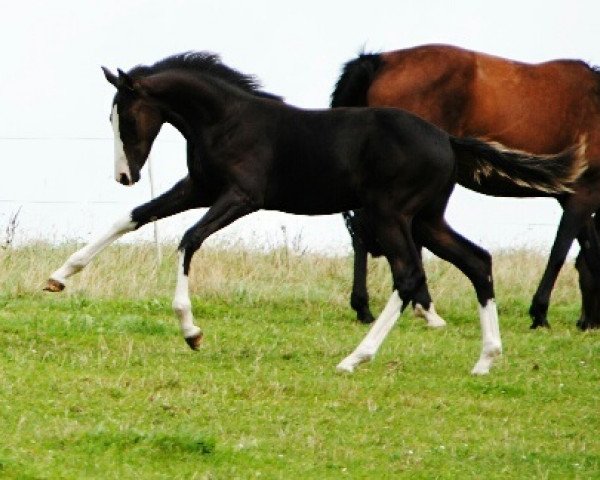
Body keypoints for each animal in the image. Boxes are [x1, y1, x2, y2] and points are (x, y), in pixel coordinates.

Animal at [45, 53, 580, 376]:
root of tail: (447, 138)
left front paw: (191, 331)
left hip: (391, 214)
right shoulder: (200, 188)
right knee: (477, 261)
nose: (124, 175)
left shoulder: (240, 196)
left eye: (127, 117)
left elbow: (188, 240)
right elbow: (133, 217)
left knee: (409, 276)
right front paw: (60, 276)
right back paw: (485, 359)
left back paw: (356, 357)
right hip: (426, 219)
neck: (227, 121)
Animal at [332, 43, 600, 330]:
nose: (588, 322)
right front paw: (539, 313)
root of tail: (380, 61)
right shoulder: (583, 196)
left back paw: (369, 307)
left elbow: (589, 251)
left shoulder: (573, 198)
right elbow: (560, 251)